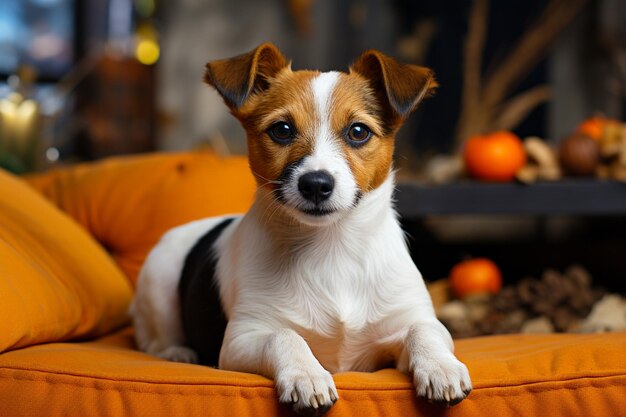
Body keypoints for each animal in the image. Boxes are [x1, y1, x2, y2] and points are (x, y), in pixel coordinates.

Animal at [130, 41, 468, 412]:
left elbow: (425, 331)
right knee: (153, 339)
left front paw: (440, 366)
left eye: (358, 131)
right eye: (282, 130)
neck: (331, 246)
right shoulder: (240, 340)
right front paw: (306, 375)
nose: (316, 184)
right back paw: (178, 352)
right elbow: (284, 335)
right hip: (159, 284)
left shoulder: (409, 320)